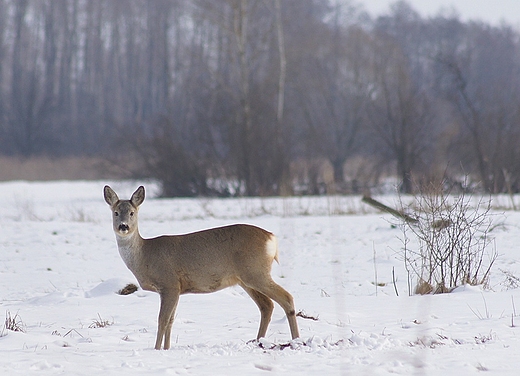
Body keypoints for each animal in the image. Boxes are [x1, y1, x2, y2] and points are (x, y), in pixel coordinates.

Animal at [103, 185, 298, 350]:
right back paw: (258, 341)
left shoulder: (169, 283)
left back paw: (296, 341)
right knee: (267, 305)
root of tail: (271, 238)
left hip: (255, 272)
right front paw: (166, 349)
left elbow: (162, 320)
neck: (145, 255)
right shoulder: (176, 289)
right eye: (116, 212)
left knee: (286, 298)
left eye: (132, 212)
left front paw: (156, 349)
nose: (123, 226)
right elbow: (171, 320)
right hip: (245, 279)